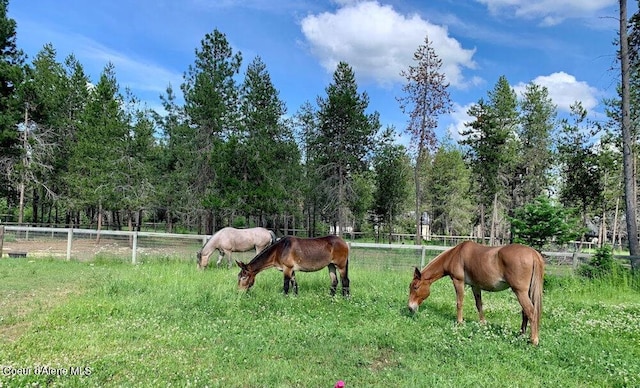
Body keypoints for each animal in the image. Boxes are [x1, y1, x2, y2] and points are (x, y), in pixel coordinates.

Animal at [408, 239, 544, 346]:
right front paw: (483, 324)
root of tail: (533, 254)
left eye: (415, 287)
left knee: (531, 312)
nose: (410, 308)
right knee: (525, 312)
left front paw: (460, 322)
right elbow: (479, 305)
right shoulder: (475, 286)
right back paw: (522, 335)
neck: (455, 254)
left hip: (520, 292)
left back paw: (533, 340)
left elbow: (459, 302)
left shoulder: (458, 281)